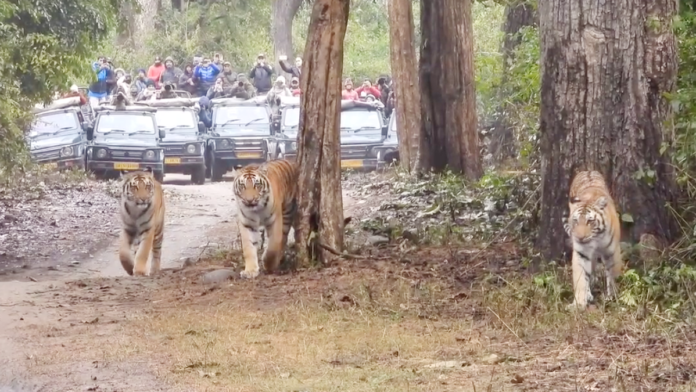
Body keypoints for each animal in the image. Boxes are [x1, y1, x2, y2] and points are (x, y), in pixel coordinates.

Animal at [564, 172, 624, 310]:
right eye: (575, 221)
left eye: (589, 221)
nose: (580, 238)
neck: (596, 239)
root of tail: (588, 170)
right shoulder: (581, 253)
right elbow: (581, 278)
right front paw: (579, 303)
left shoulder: (612, 251)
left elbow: (613, 274)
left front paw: (612, 296)